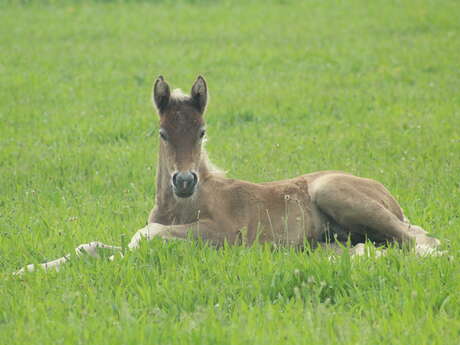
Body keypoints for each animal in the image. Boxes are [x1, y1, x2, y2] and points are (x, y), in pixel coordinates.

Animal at [16, 76, 442, 274]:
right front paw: (27, 270)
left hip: (333, 190)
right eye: (162, 133)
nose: (184, 181)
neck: (183, 206)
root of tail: (388, 195)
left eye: (202, 132)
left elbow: (145, 237)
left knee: (424, 241)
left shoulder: (224, 235)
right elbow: (90, 246)